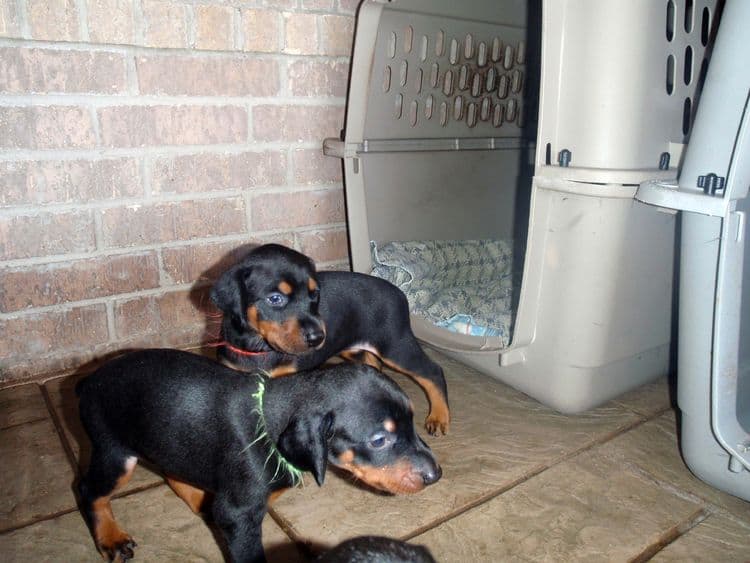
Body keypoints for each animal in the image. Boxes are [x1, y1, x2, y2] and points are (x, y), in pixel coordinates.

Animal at [76, 350, 440, 560]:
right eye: (379, 440)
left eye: (412, 422)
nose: (436, 475)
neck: (270, 415)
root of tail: (86, 381)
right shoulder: (238, 515)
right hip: (115, 453)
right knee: (88, 490)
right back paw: (110, 539)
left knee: (174, 470)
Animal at [212, 243, 450, 436]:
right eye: (275, 299)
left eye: (314, 294)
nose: (318, 338)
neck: (260, 347)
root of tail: (400, 293)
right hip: (356, 349)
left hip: (395, 345)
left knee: (433, 371)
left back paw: (439, 417)